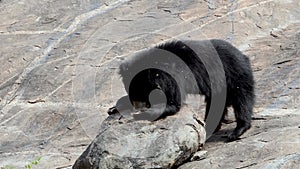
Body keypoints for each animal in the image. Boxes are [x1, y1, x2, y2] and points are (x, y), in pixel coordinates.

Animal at [109, 39, 254, 141]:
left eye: (141, 94)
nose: (137, 106)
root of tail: (243, 55)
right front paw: (114, 108)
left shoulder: (171, 77)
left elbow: (173, 103)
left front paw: (143, 113)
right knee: (217, 105)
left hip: (235, 75)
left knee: (242, 100)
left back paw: (236, 131)